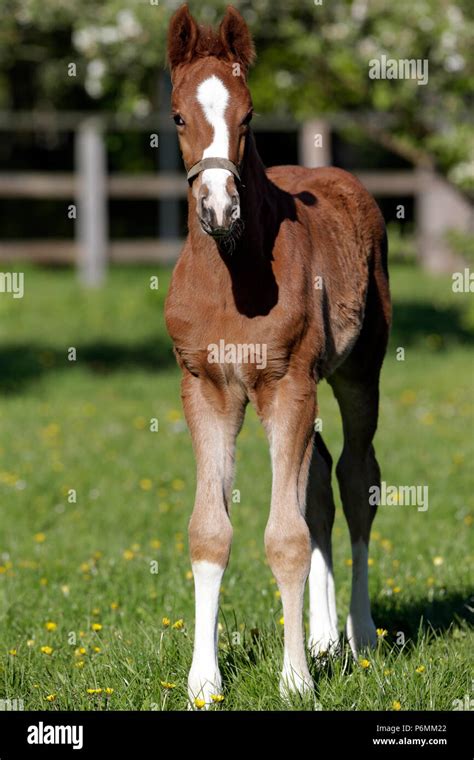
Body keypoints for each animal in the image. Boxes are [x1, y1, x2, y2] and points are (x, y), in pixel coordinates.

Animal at [165, 7, 390, 708]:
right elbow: (210, 530)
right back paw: (323, 637)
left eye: (250, 115)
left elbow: (285, 535)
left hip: (356, 375)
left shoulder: (288, 384)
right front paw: (204, 682)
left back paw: (359, 637)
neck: (232, 278)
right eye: (178, 116)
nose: (219, 209)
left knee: (355, 481)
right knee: (316, 487)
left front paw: (295, 682)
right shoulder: (206, 389)